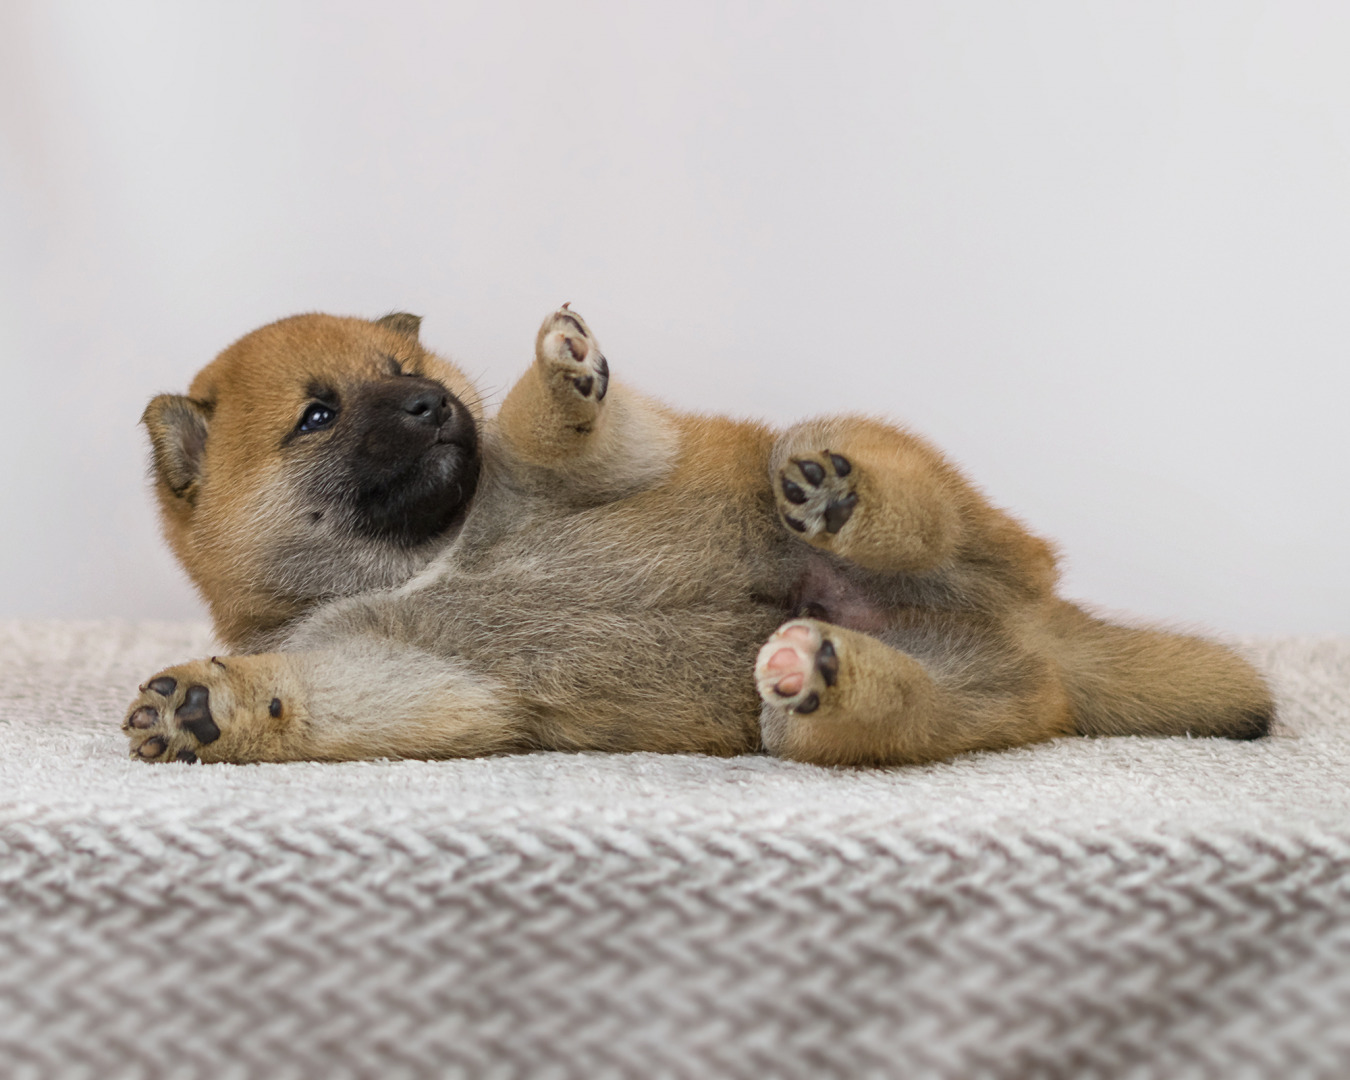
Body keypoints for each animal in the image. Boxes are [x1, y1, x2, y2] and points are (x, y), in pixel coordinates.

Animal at [121, 307, 1269, 766]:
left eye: (411, 376)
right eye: (318, 415)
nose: (429, 407)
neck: (424, 561)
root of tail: (1041, 636)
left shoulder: (581, 468)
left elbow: (552, 428)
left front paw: (565, 367)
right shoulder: (408, 677)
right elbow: (310, 701)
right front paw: (207, 708)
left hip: (889, 481)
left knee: (909, 506)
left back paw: (837, 499)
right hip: (901, 709)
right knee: (868, 704)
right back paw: (815, 661)